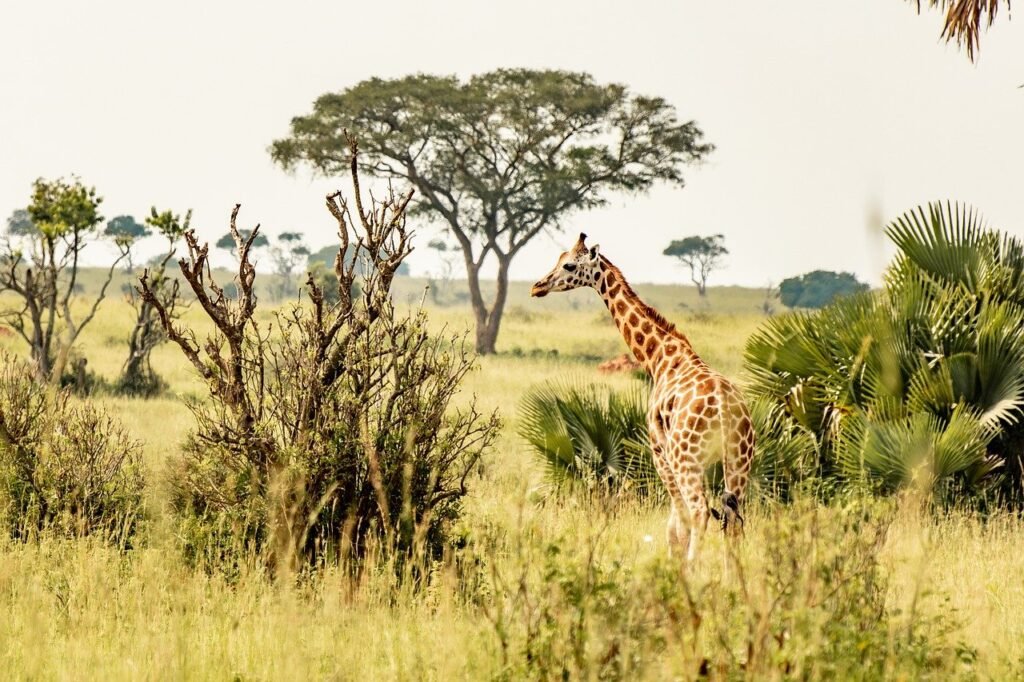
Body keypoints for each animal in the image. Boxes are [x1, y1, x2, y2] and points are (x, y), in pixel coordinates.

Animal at [532, 231, 757, 561]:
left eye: (569, 265)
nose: (538, 286)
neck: (660, 357)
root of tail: (726, 412)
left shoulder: (659, 451)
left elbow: (676, 526)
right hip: (739, 460)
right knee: (734, 522)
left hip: (687, 460)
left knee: (700, 512)